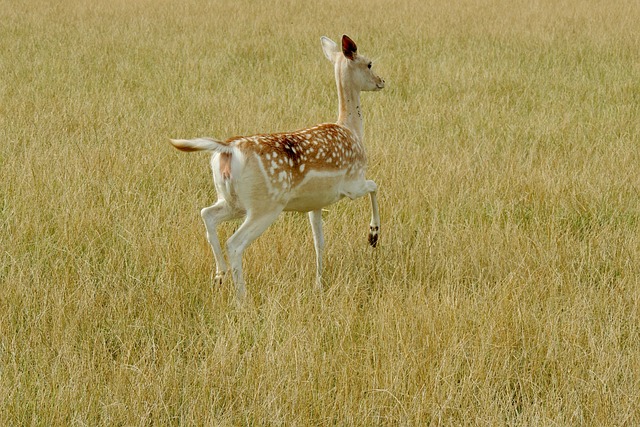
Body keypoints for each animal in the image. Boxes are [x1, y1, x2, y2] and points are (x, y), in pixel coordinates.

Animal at [170, 35, 384, 300]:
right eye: (369, 63)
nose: (381, 81)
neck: (352, 130)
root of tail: (227, 150)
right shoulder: (352, 183)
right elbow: (375, 185)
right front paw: (373, 236)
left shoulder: (315, 203)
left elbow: (319, 241)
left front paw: (319, 283)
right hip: (266, 205)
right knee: (235, 242)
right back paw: (241, 298)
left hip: (234, 200)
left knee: (206, 214)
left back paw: (220, 276)